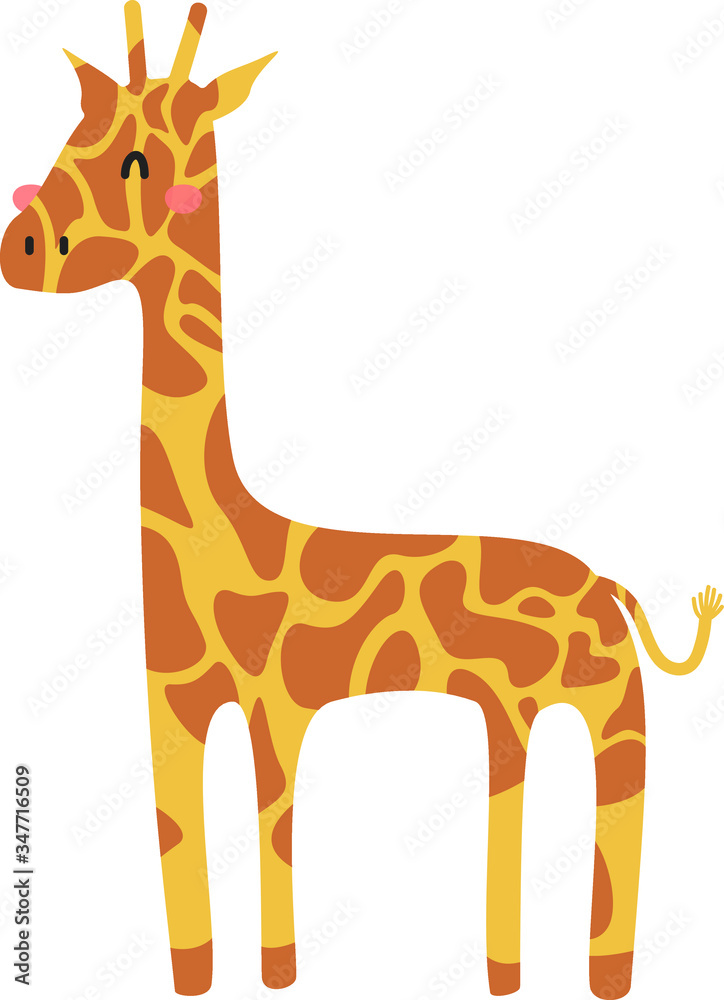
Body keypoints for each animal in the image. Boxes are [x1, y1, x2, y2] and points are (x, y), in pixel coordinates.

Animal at [1, 3, 720, 997]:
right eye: (76, 127)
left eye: (138, 161)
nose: (20, 250)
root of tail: (609, 586)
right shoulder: (168, 710)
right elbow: (182, 861)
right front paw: (200, 978)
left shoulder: (277, 707)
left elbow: (273, 834)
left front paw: (278, 972)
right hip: (523, 717)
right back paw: (510, 970)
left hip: (608, 712)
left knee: (613, 831)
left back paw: (581, 975)